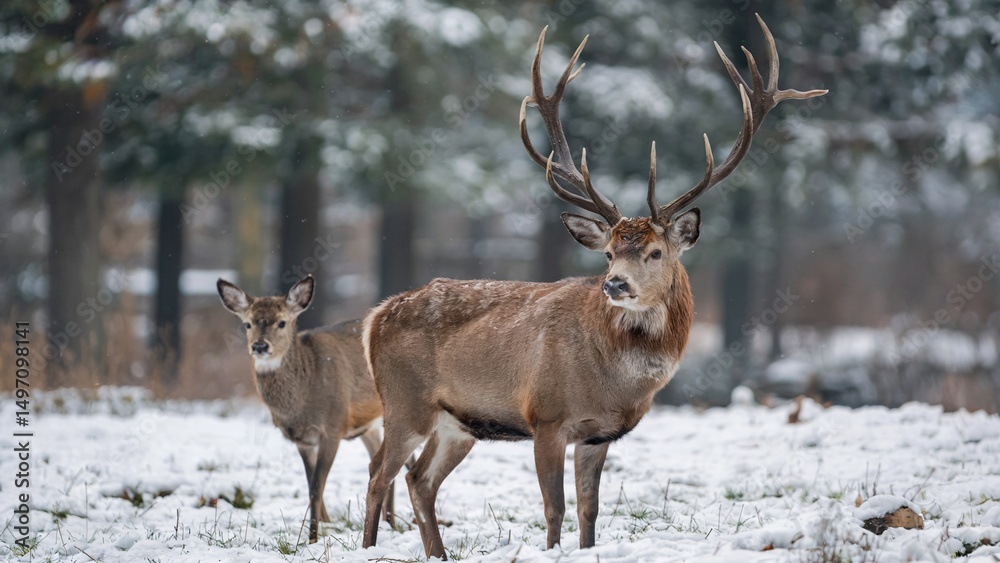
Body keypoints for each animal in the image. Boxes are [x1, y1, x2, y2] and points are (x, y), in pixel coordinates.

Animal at [216, 275, 399, 544]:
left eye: (282, 322)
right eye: (248, 324)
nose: (260, 346)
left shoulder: (332, 427)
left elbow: (316, 487)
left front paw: (312, 538)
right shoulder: (302, 440)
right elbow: (310, 486)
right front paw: (325, 529)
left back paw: (393, 524)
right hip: (369, 426)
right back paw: (389, 523)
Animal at [360, 15, 826, 559]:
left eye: (655, 252)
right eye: (607, 253)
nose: (615, 284)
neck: (613, 381)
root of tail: (376, 316)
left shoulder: (598, 436)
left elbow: (590, 510)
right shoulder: (544, 417)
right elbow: (554, 508)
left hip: (458, 423)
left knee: (419, 479)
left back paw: (437, 552)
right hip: (404, 401)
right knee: (378, 473)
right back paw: (368, 546)